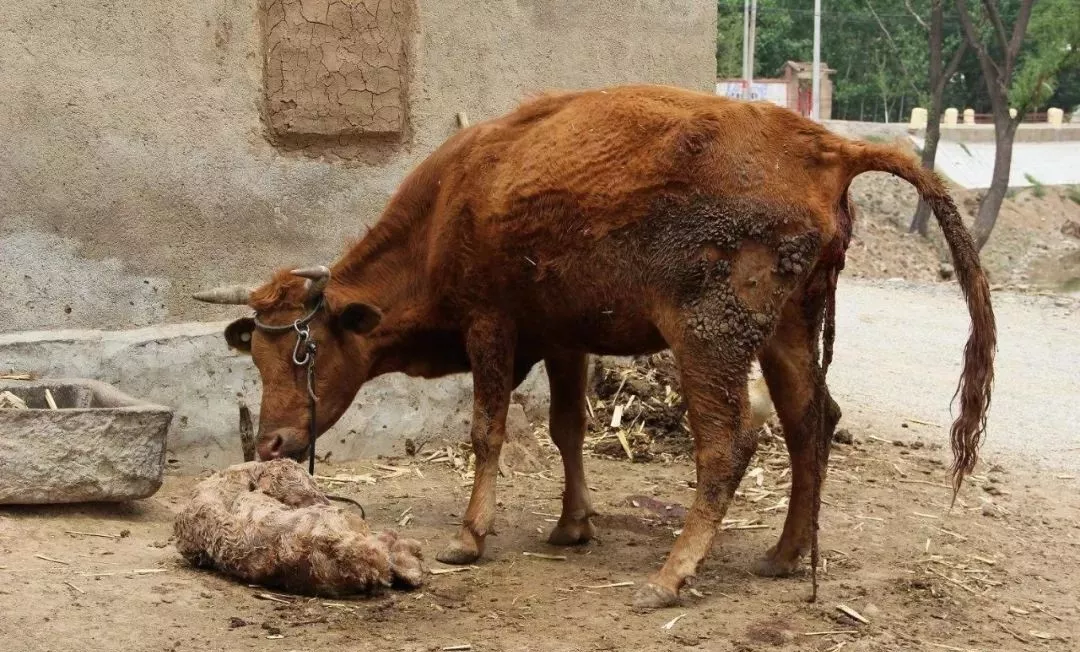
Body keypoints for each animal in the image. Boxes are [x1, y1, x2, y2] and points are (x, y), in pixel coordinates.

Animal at [192, 84, 993, 608]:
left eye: (307, 354)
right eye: (256, 355)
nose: (272, 444)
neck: (455, 201)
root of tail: (823, 145)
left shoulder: (492, 326)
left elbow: (488, 430)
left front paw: (470, 537)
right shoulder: (563, 338)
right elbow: (567, 428)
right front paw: (570, 526)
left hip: (709, 337)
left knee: (727, 444)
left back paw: (670, 577)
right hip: (790, 327)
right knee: (810, 422)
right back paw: (784, 555)